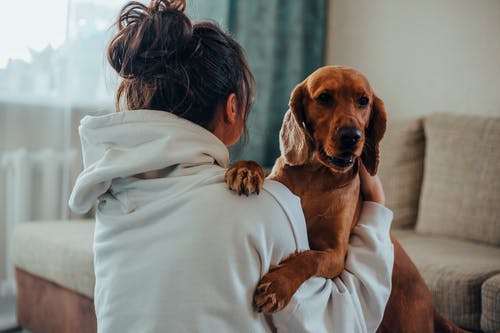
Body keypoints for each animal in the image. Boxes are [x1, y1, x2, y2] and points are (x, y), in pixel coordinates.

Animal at [227, 65, 468, 332]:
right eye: (324, 98)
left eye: (363, 101)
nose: (352, 136)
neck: (316, 177)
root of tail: (435, 309)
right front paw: (245, 169)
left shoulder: (336, 254)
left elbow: (311, 258)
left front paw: (279, 284)